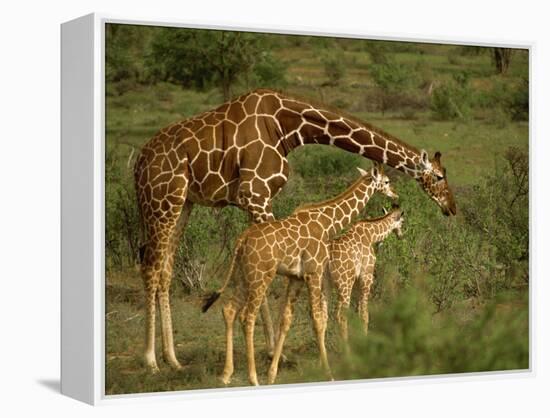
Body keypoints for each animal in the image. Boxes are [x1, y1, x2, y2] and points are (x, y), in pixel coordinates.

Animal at [202, 164, 396, 386]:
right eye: (387, 181)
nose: (395, 194)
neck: (327, 222)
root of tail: (241, 240)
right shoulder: (314, 272)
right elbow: (318, 320)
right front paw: (328, 373)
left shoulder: (296, 278)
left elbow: (286, 320)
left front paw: (272, 375)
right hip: (261, 276)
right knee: (247, 316)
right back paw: (252, 378)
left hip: (243, 275)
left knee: (229, 310)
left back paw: (226, 375)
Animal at [328, 204, 406, 348]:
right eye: (403, 221)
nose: (401, 235)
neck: (371, 235)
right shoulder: (366, 275)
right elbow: (364, 313)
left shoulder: (358, 280)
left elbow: (358, 310)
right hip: (345, 283)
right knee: (341, 314)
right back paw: (345, 347)